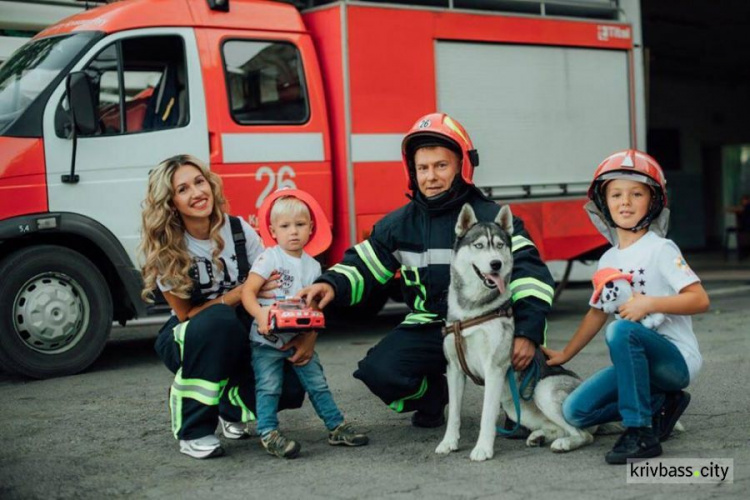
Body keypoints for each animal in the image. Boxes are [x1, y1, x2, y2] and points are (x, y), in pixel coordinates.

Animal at [438, 202, 596, 460]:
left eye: (500, 245)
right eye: (479, 245)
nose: (496, 264)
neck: (473, 311)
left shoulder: (494, 369)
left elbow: (487, 416)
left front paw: (482, 449)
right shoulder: (454, 369)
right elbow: (453, 414)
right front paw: (448, 442)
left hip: (543, 390)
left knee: (584, 434)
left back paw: (564, 443)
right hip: (515, 406)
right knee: (557, 428)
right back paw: (539, 436)